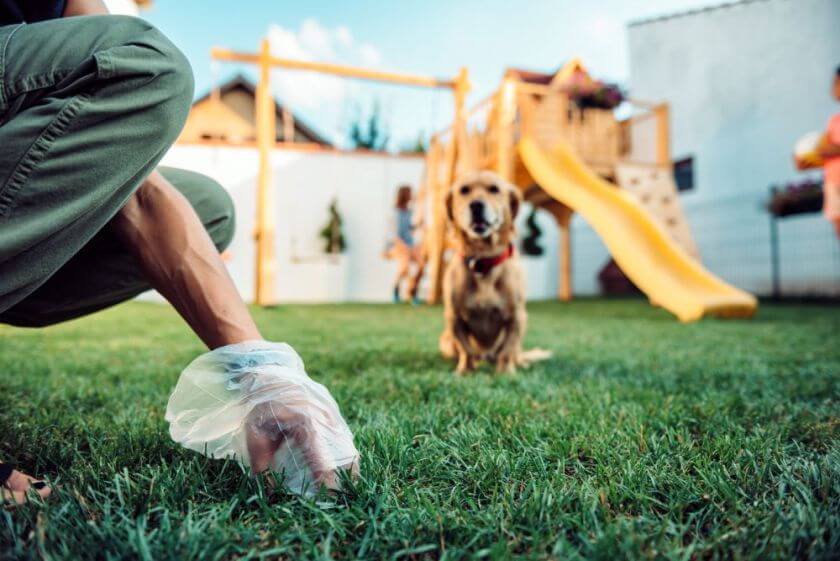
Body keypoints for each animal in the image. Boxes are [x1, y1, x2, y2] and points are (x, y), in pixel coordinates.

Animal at [436, 170, 548, 372]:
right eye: (464, 190)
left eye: (494, 189)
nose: (476, 205)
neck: (484, 260)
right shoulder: (454, 318)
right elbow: (466, 349)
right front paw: (465, 370)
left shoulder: (517, 317)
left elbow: (507, 349)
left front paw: (505, 372)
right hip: (445, 340)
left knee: (514, 353)